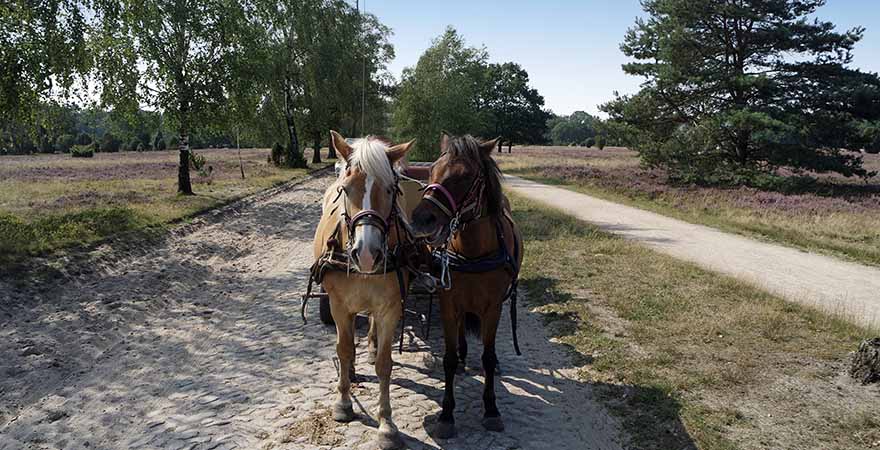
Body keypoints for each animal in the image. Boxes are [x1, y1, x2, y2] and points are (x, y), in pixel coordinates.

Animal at [312, 130, 414, 446]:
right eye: (345, 190)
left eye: (392, 190)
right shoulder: (338, 305)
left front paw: (387, 424)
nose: (367, 254)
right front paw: (343, 403)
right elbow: (343, 349)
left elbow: (385, 364)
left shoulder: (390, 307)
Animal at [410, 134, 524, 440]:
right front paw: (446, 414)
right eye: (431, 171)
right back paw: (462, 356)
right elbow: (448, 359)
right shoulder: (449, 302)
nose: (421, 219)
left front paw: (491, 409)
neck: (473, 251)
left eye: (464, 177)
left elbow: (488, 356)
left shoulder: (493, 307)